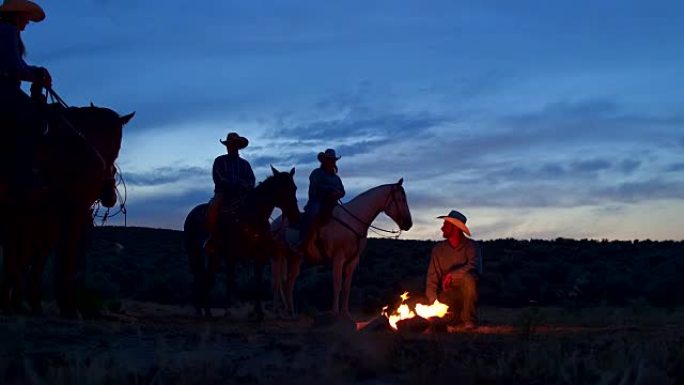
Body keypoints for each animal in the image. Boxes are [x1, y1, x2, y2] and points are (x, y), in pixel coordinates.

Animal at [0, 102, 134, 316]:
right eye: (118, 144)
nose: (111, 198)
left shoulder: (45, 228)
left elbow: (38, 262)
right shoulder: (70, 213)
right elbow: (66, 257)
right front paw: (68, 307)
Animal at [182, 166, 300, 320]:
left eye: (294, 188)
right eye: (281, 189)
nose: (295, 216)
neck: (251, 216)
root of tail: (191, 214)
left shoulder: (258, 256)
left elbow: (256, 282)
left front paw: (259, 312)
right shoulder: (232, 255)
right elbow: (231, 280)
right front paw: (231, 311)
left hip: (212, 255)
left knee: (205, 276)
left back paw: (204, 310)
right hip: (194, 252)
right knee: (200, 277)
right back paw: (202, 311)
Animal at [272, 178, 412, 316]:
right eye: (401, 199)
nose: (408, 224)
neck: (353, 220)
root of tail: (275, 222)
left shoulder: (352, 260)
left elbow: (346, 287)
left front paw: (345, 312)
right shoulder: (338, 258)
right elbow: (337, 284)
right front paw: (334, 312)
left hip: (294, 258)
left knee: (288, 283)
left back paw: (290, 312)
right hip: (278, 256)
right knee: (277, 281)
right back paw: (280, 310)